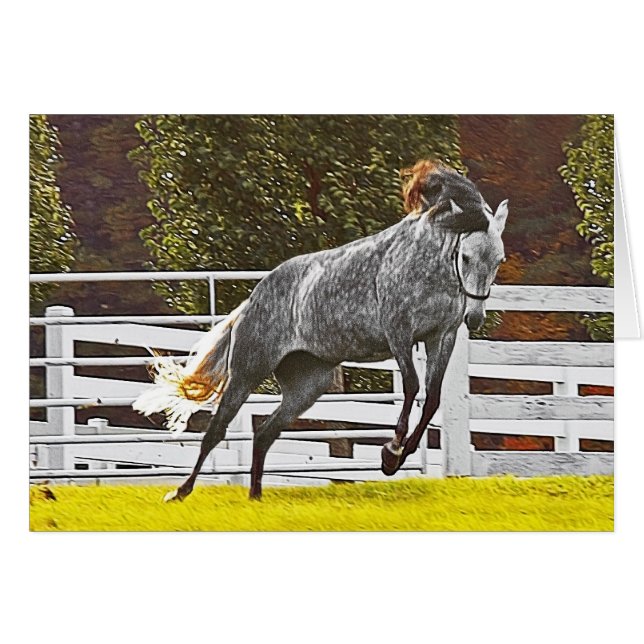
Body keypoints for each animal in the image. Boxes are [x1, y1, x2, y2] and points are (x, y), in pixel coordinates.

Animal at [133, 160, 509, 500]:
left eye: (499, 260)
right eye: (466, 256)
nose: (475, 318)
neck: (424, 263)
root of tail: (251, 303)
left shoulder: (440, 338)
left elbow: (431, 400)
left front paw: (398, 456)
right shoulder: (399, 334)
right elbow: (413, 388)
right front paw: (390, 454)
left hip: (307, 387)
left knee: (265, 433)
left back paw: (255, 496)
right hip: (247, 372)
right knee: (217, 430)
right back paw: (180, 492)